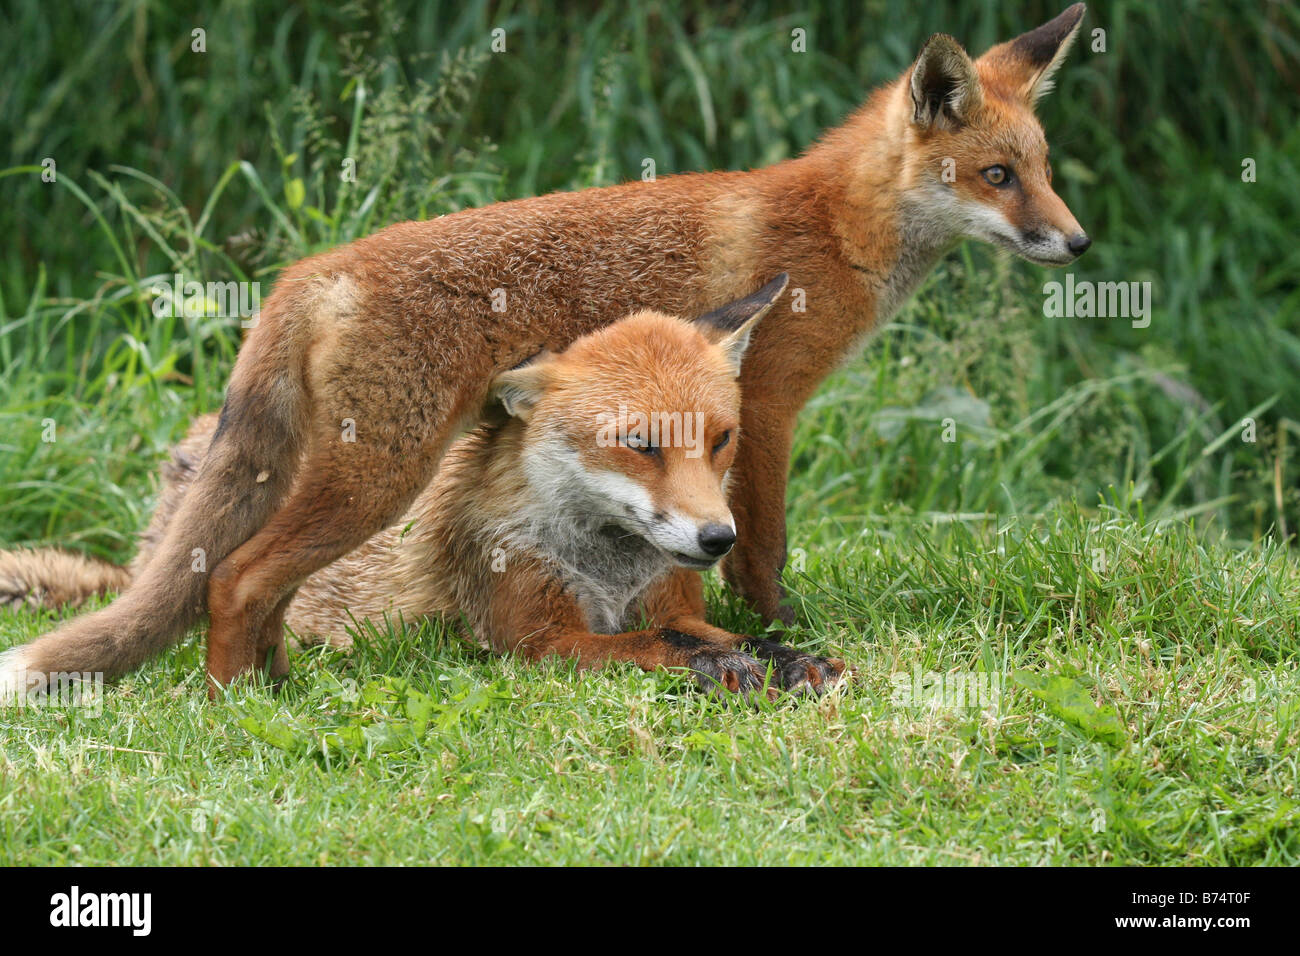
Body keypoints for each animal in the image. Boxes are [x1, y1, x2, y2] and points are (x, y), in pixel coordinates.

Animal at [0, 278, 844, 697]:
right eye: (639, 446)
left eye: (721, 440)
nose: (718, 538)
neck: (608, 565)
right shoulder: (534, 641)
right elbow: (664, 645)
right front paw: (743, 671)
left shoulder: (671, 599)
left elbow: (708, 633)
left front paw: (780, 656)